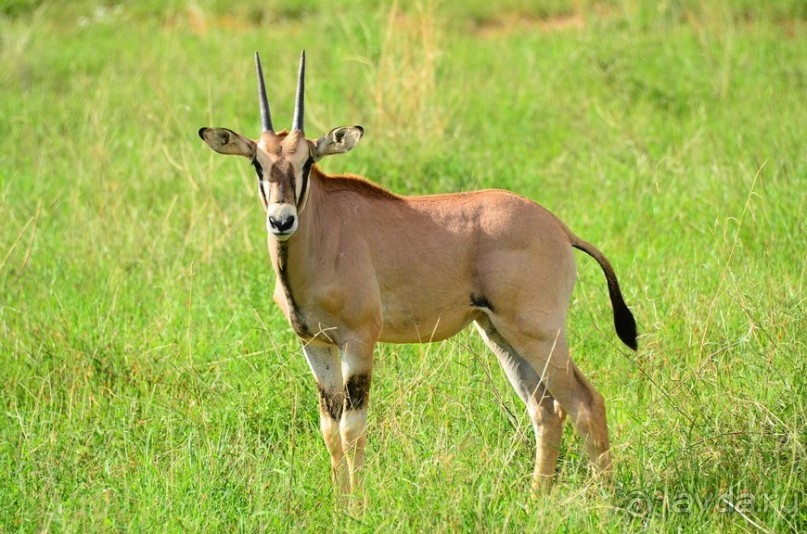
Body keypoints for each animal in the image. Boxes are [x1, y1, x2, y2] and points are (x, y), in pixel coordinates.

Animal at [197, 52, 636, 496]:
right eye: (258, 163)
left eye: (308, 160)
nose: (282, 220)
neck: (324, 230)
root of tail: (559, 228)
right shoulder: (314, 344)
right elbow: (329, 429)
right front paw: (340, 502)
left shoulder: (359, 340)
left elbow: (353, 429)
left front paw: (358, 504)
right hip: (502, 335)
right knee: (546, 411)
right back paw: (537, 499)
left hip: (539, 334)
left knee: (586, 404)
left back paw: (603, 500)